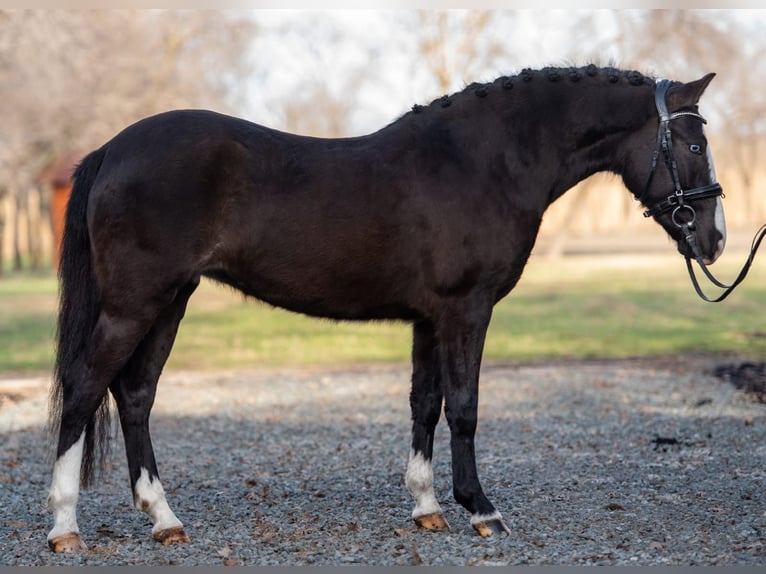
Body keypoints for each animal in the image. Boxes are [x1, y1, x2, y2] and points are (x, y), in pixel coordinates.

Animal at [46, 65, 728, 556]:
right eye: (694, 143)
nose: (716, 239)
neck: (482, 161)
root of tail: (110, 150)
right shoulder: (466, 311)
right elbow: (465, 408)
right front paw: (481, 509)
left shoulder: (429, 319)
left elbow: (425, 404)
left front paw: (427, 509)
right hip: (135, 305)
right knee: (84, 390)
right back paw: (64, 527)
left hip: (169, 302)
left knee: (135, 395)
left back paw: (164, 519)